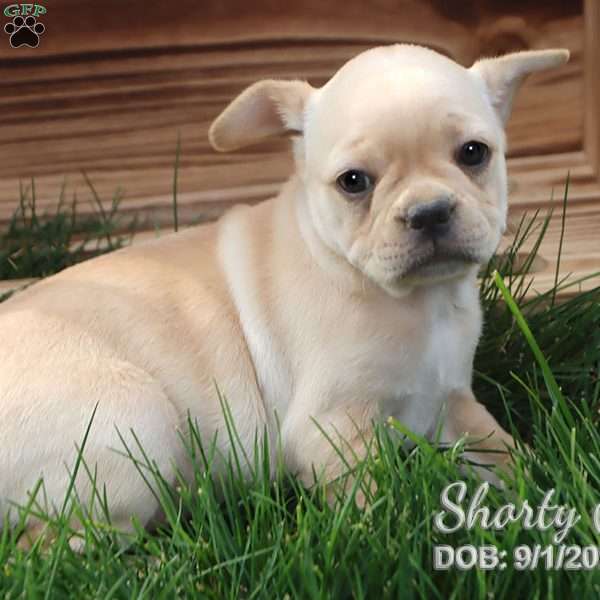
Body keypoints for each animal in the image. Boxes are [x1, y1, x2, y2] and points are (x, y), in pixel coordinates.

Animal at [0, 42, 568, 540]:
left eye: (474, 154)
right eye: (353, 182)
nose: (429, 212)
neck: (418, 302)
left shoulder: (450, 399)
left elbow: (500, 448)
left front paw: (543, 487)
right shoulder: (330, 429)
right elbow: (376, 498)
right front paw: (394, 537)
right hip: (132, 427)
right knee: (55, 541)